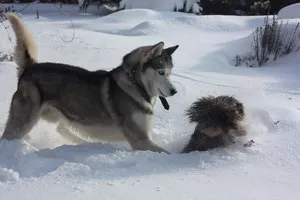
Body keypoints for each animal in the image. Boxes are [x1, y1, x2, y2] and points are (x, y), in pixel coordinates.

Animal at [1, 13, 179, 153]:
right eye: (161, 72)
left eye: (170, 73)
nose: (174, 91)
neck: (135, 84)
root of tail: (30, 67)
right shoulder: (140, 139)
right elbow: (167, 153)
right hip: (24, 121)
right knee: (9, 136)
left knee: (61, 128)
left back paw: (83, 143)